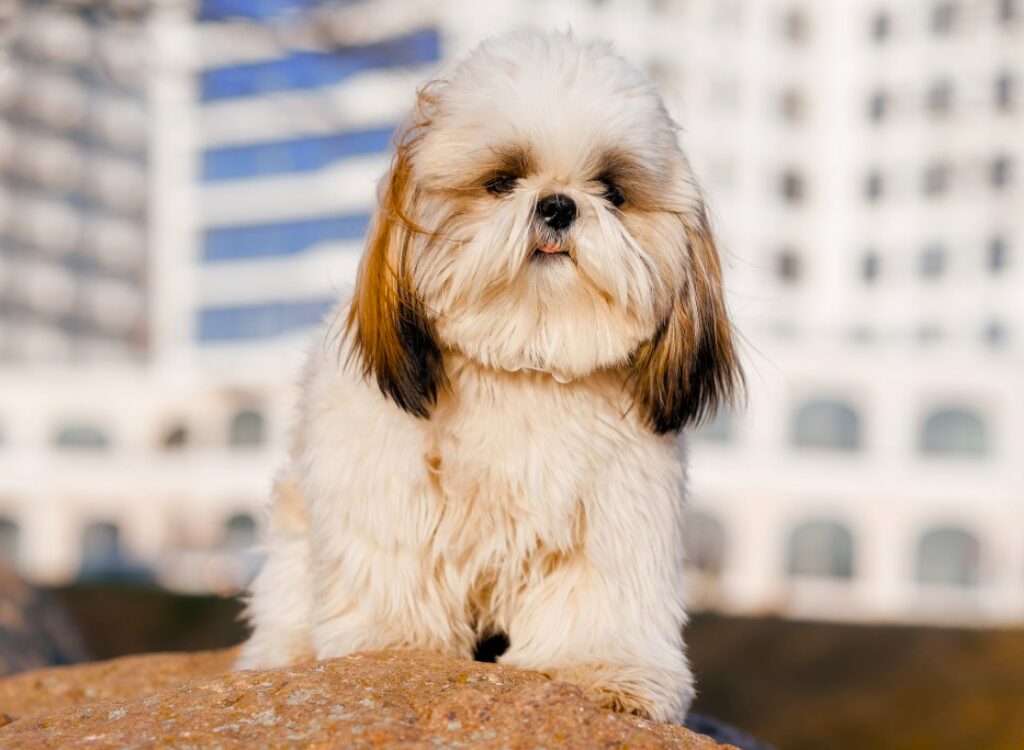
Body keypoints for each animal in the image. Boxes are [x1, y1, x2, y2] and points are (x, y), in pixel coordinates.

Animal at [235, 27, 741, 721]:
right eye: (502, 181)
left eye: (612, 190)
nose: (557, 206)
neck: (523, 361)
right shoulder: (385, 483)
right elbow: (394, 568)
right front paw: (395, 647)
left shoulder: (618, 506)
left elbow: (600, 597)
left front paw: (605, 671)